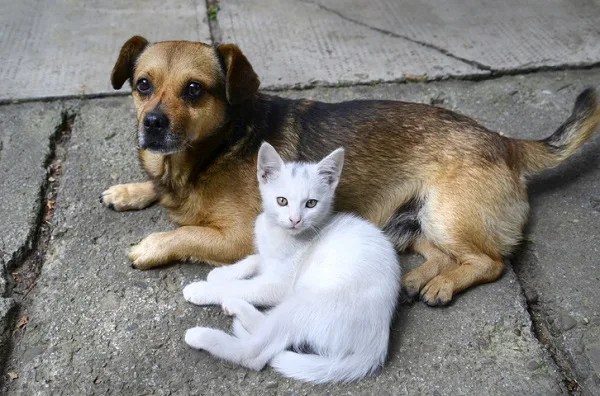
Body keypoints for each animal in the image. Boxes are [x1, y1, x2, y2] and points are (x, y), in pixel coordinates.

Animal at [103, 35, 600, 304]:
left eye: (194, 90)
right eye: (142, 85)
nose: (152, 124)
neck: (213, 149)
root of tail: (505, 141)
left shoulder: (240, 237)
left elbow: (185, 233)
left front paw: (151, 245)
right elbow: (156, 189)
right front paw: (129, 191)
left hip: (447, 214)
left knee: (490, 262)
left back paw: (443, 286)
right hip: (415, 221)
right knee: (443, 254)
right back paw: (418, 279)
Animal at [182, 142, 398, 384]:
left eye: (311, 204)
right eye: (282, 201)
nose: (295, 220)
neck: (279, 233)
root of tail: (375, 345)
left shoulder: (280, 285)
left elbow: (245, 286)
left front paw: (203, 289)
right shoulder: (267, 256)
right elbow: (255, 259)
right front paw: (223, 273)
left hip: (305, 300)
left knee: (255, 353)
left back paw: (203, 334)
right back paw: (238, 308)